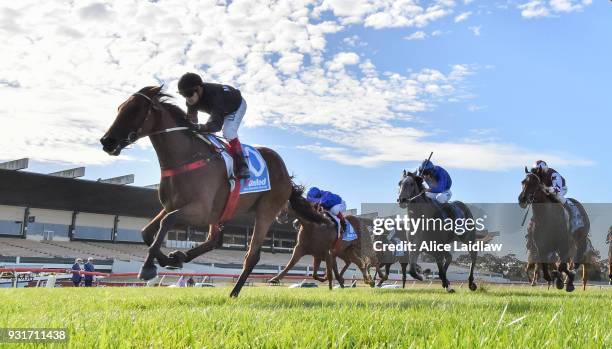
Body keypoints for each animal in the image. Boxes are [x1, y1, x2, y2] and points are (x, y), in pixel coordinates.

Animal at [99, 86, 326, 296]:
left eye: (135, 109)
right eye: (120, 108)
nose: (107, 141)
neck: (186, 157)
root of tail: (284, 171)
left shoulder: (199, 211)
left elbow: (166, 222)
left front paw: (148, 267)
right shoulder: (173, 206)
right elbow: (147, 231)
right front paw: (166, 259)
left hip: (266, 211)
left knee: (251, 255)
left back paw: (234, 292)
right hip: (222, 212)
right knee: (214, 240)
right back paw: (182, 256)